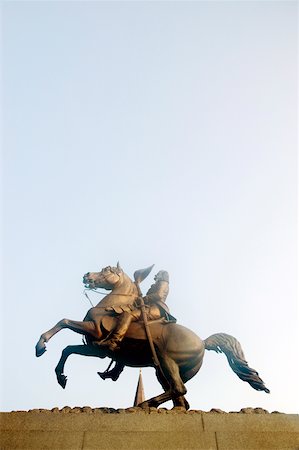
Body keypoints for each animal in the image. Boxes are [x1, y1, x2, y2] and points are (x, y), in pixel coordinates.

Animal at [36, 264, 270, 408]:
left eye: (107, 270)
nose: (87, 276)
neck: (111, 306)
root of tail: (203, 342)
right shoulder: (96, 349)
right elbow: (68, 349)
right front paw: (60, 377)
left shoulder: (94, 331)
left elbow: (64, 322)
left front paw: (40, 345)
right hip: (163, 371)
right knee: (181, 399)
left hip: (167, 361)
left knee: (179, 389)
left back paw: (146, 403)